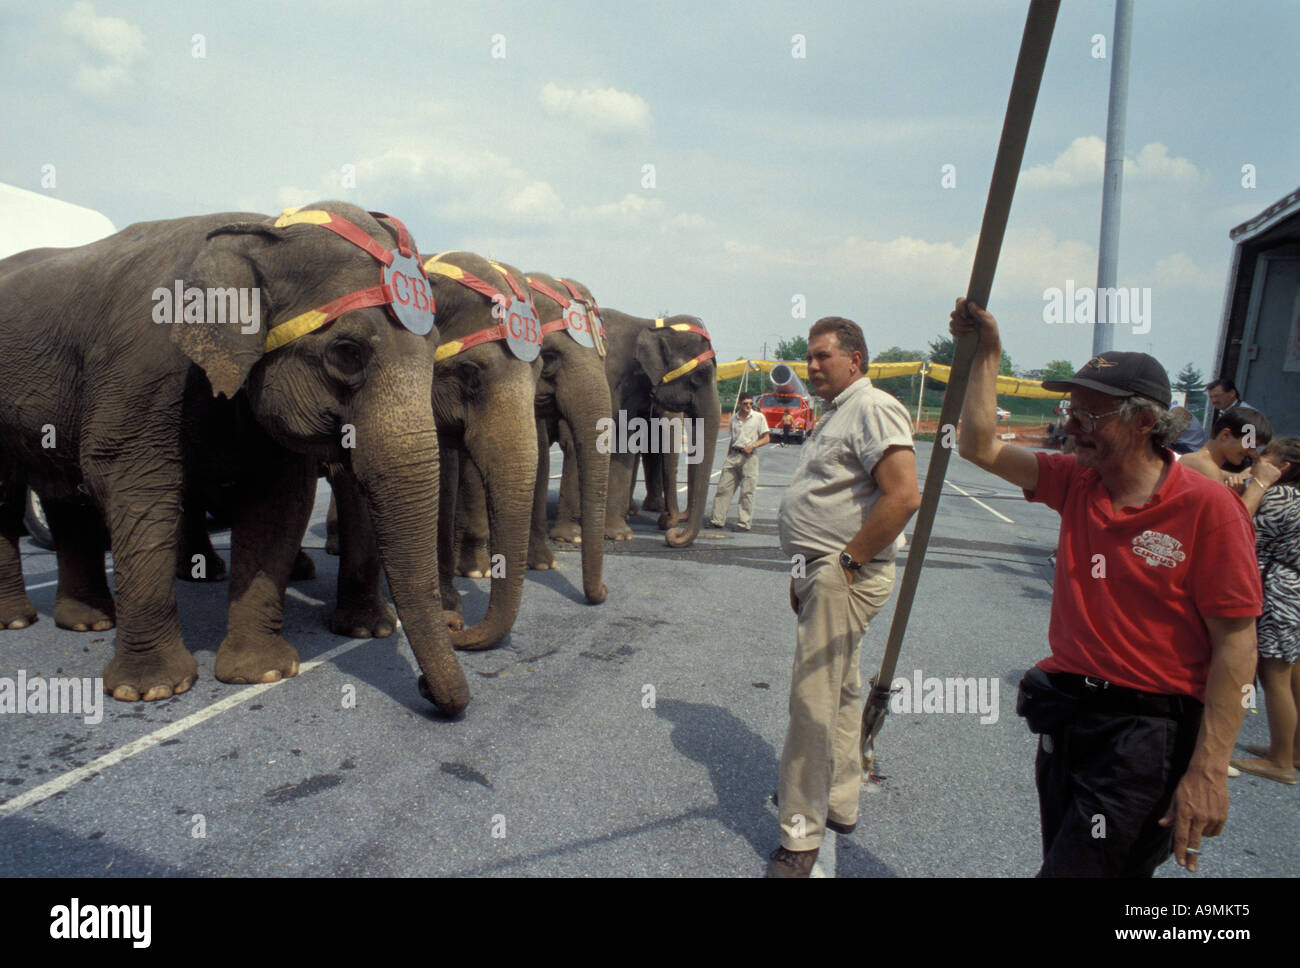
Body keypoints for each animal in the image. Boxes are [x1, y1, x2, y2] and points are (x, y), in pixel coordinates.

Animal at [0, 200, 473, 712]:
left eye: (434, 348)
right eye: (347, 353)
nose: (429, 685)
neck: (259, 234)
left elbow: (277, 502)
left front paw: (261, 672)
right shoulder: (140, 368)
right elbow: (134, 484)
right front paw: (151, 688)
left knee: (61, 494)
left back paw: (88, 621)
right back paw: (21, 622)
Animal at [546, 313, 717, 548]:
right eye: (699, 377)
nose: (668, 527)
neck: (647, 324)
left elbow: (623, 444)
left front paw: (619, 535)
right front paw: (570, 537)